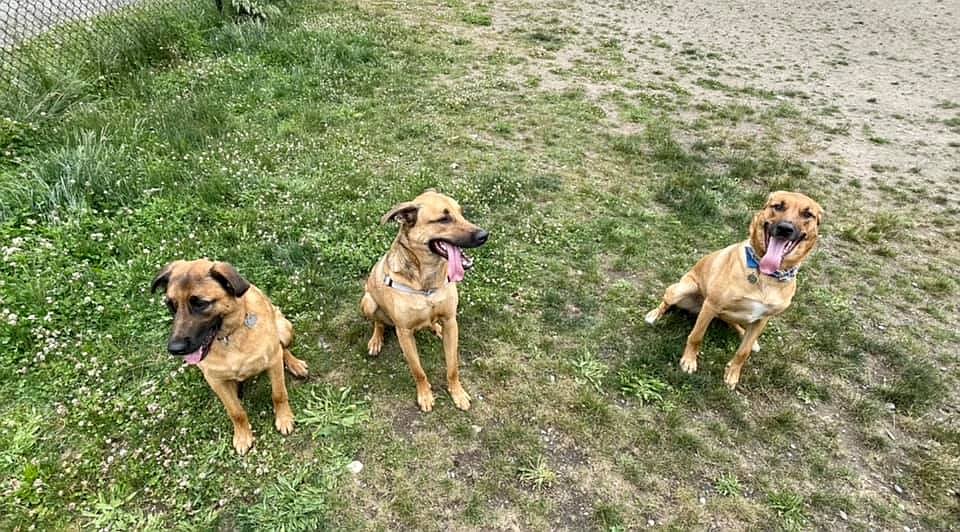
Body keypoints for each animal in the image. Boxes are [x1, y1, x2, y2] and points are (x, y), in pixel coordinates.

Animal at [151, 258, 308, 454]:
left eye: (201, 304)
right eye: (170, 305)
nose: (175, 349)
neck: (229, 338)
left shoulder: (272, 362)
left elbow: (278, 394)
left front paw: (284, 419)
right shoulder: (215, 381)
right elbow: (236, 412)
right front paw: (242, 437)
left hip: (284, 329)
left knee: (282, 348)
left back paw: (296, 364)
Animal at [364, 191, 492, 412]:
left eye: (461, 213)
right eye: (443, 219)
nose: (484, 235)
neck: (426, 283)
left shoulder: (451, 321)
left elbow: (452, 367)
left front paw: (457, 393)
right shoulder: (405, 333)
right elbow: (418, 372)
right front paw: (425, 395)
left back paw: (435, 328)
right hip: (368, 303)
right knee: (378, 322)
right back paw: (376, 339)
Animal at [640, 191, 820, 386]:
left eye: (808, 214)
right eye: (778, 206)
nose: (785, 228)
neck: (767, 275)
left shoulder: (762, 319)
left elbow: (743, 352)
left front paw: (733, 373)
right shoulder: (711, 306)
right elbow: (696, 336)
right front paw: (689, 361)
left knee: (736, 324)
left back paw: (749, 338)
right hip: (683, 289)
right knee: (666, 302)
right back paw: (653, 315)